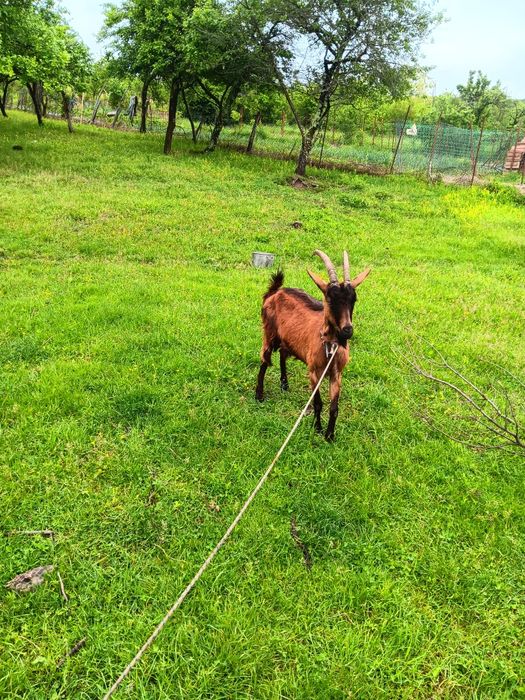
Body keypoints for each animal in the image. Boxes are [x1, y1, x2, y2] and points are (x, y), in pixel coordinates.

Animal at [255, 250, 370, 441]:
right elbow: (318, 403)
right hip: (269, 333)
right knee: (265, 359)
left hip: (287, 338)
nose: (347, 331)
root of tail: (275, 292)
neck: (329, 345)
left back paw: (284, 385)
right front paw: (317, 428)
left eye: (354, 299)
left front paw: (330, 435)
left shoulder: (336, 373)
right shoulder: (314, 371)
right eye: (329, 299)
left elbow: (334, 407)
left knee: (282, 354)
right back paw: (259, 395)